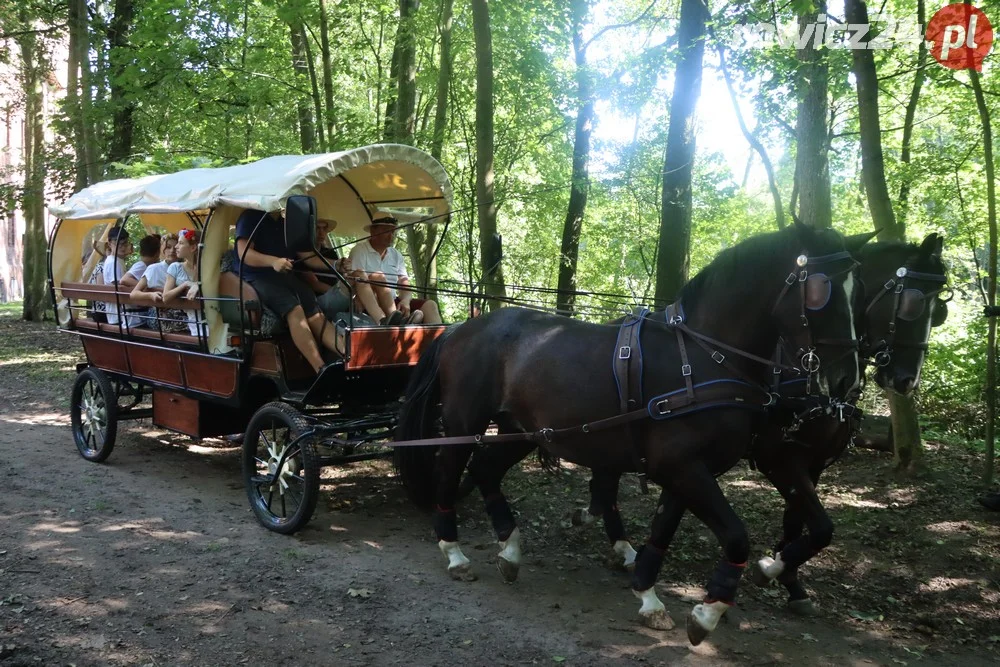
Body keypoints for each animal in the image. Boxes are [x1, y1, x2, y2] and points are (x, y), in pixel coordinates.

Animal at [394, 224, 864, 648]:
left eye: (857, 291)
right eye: (820, 292)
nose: (846, 379)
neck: (704, 358)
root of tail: (459, 328)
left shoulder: (690, 469)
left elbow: (662, 532)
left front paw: (649, 595)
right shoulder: (685, 466)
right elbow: (735, 537)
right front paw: (709, 611)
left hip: (522, 430)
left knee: (486, 472)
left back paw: (510, 551)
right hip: (463, 425)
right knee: (449, 474)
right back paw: (454, 553)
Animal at [568, 230, 948, 616]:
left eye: (940, 311)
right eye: (911, 303)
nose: (906, 380)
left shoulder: (812, 463)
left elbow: (805, 525)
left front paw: (788, 579)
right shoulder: (775, 455)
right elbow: (817, 527)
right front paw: (772, 570)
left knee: (605, 480)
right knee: (606, 480)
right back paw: (619, 543)